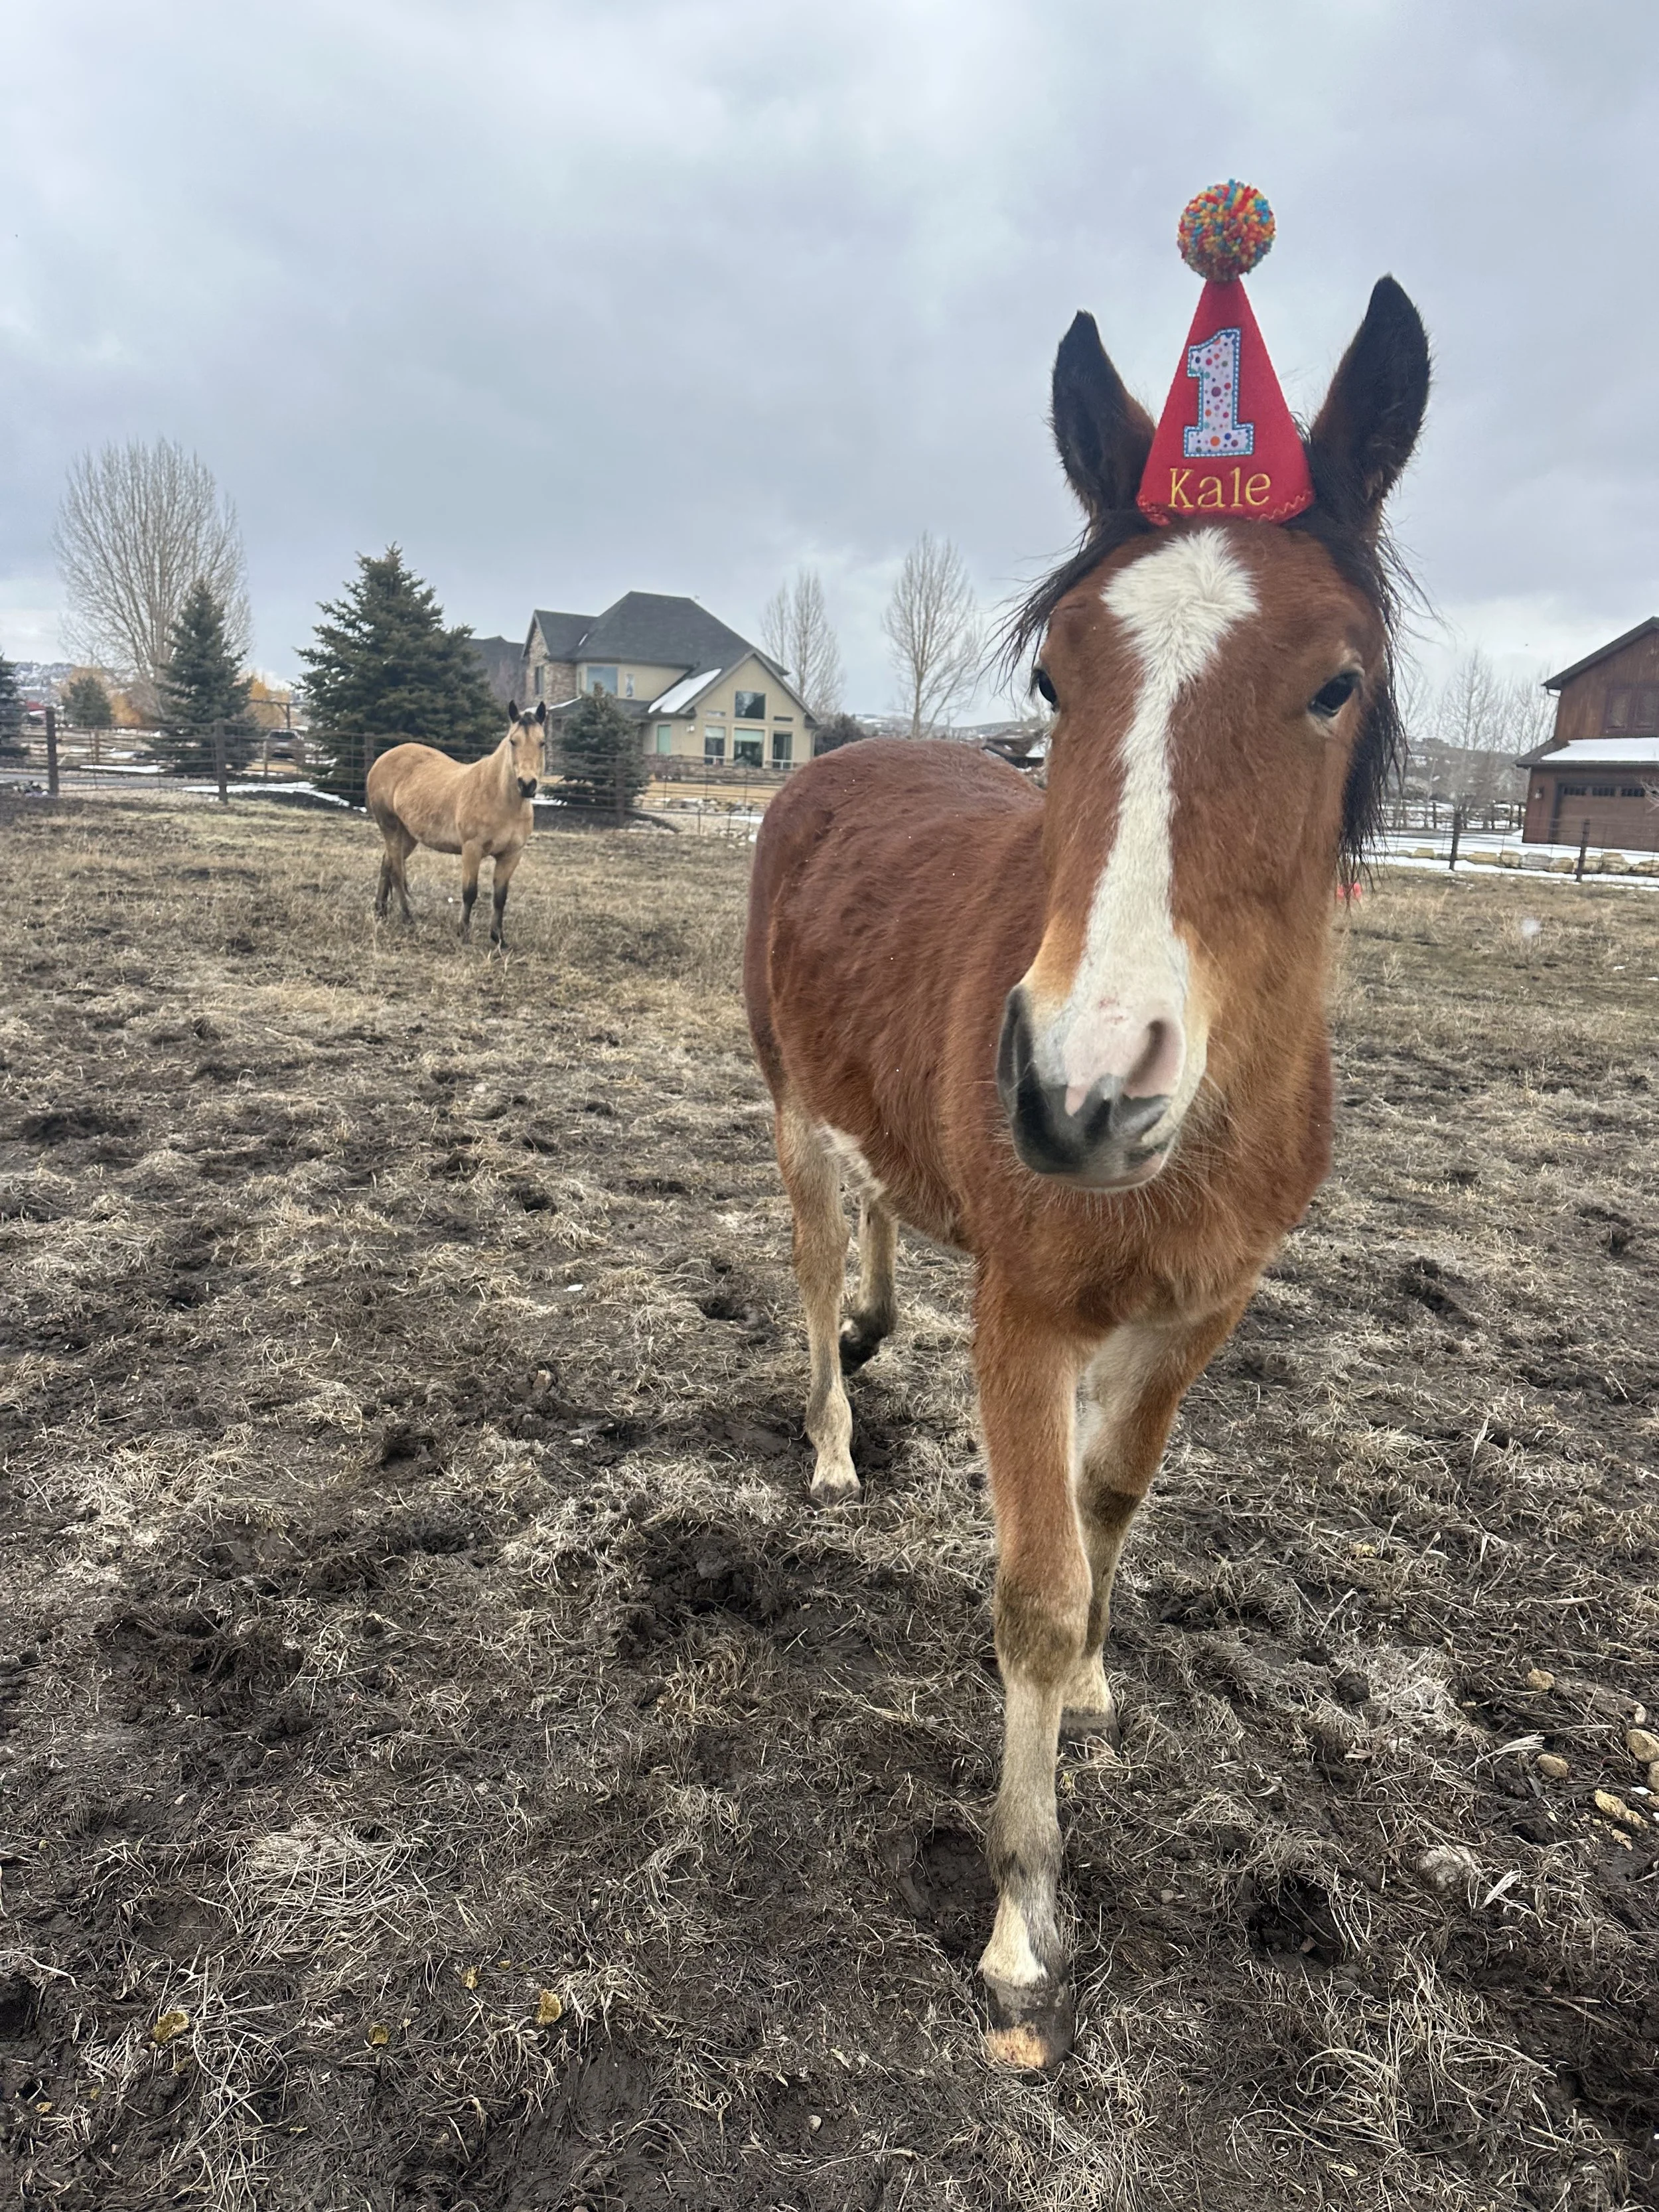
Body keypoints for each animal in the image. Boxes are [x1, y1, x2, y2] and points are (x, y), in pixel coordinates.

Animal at [366, 702, 546, 946]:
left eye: (542, 742)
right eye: (513, 741)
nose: (527, 785)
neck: (501, 799)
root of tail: (383, 758)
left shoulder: (511, 855)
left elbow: (500, 897)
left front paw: (498, 938)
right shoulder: (472, 849)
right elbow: (470, 892)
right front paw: (463, 933)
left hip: (409, 835)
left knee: (387, 865)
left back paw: (381, 912)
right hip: (390, 827)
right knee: (396, 872)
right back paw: (407, 918)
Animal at [744, 278, 1429, 2068]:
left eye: (1335, 682)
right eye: (1056, 680)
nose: (1073, 1089)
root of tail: (829, 757)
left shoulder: (1196, 1315)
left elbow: (1113, 1503)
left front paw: (1110, 1684)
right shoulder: (1030, 1318)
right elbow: (1037, 1591)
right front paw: (1016, 1912)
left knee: (883, 1215)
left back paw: (880, 1325)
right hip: (788, 1109)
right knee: (811, 1258)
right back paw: (831, 1437)